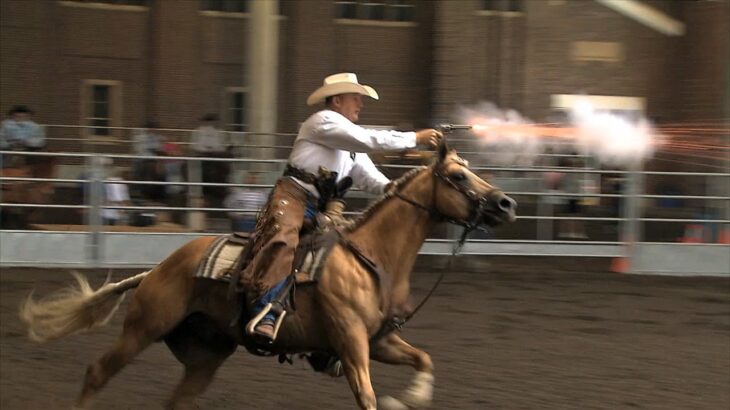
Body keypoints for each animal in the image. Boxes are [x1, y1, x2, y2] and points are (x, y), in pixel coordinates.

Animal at [19, 144, 516, 410]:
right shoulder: (352, 341)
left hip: (205, 355)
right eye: (458, 175)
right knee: (97, 372)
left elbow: (424, 360)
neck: (371, 257)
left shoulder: (380, 340)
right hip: (143, 328)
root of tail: (158, 268)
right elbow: (368, 396)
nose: (506, 203)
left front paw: (409, 397)